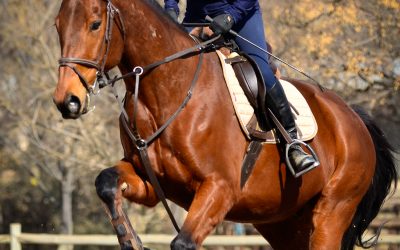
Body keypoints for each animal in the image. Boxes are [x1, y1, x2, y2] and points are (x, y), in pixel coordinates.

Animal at [52, 0, 396, 249]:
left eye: (95, 24)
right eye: (58, 26)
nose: (67, 101)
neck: (168, 91)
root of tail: (354, 117)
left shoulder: (220, 188)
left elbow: (183, 243)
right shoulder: (152, 182)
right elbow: (106, 182)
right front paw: (130, 240)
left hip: (332, 211)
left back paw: (301, 155)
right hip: (282, 221)